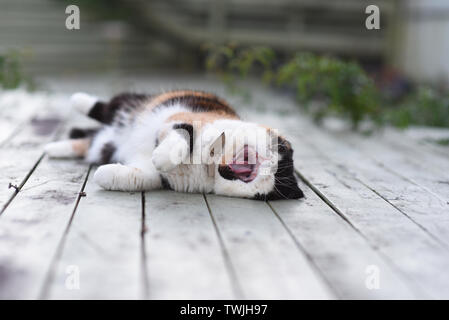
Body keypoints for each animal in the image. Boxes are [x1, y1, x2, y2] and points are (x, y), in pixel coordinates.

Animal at [44, 90, 304, 200]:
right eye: (281, 150)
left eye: (277, 184)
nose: (271, 167)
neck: (209, 165)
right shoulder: (181, 121)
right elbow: (182, 137)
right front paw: (161, 157)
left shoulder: (158, 178)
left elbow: (141, 177)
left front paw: (104, 173)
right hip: (134, 107)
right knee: (110, 106)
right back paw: (78, 99)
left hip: (103, 145)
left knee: (89, 142)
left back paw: (54, 148)